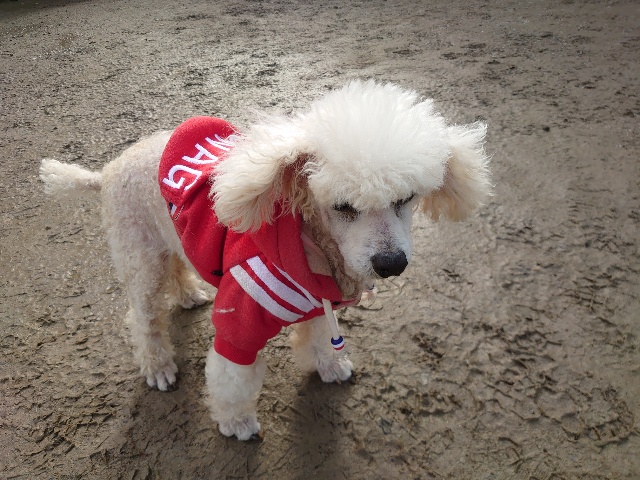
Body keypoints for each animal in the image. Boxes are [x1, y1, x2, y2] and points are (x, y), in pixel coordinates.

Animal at [40, 80, 491, 440]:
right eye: (343, 206)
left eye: (405, 198)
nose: (391, 263)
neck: (313, 249)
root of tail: (107, 170)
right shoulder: (240, 324)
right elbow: (233, 380)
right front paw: (236, 423)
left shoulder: (317, 304)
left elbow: (320, 339)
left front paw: (329, 366)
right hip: (140, 255)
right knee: (143, 317)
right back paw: (158, 366)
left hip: (168, 238)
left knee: (178, 268)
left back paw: (188, 295)